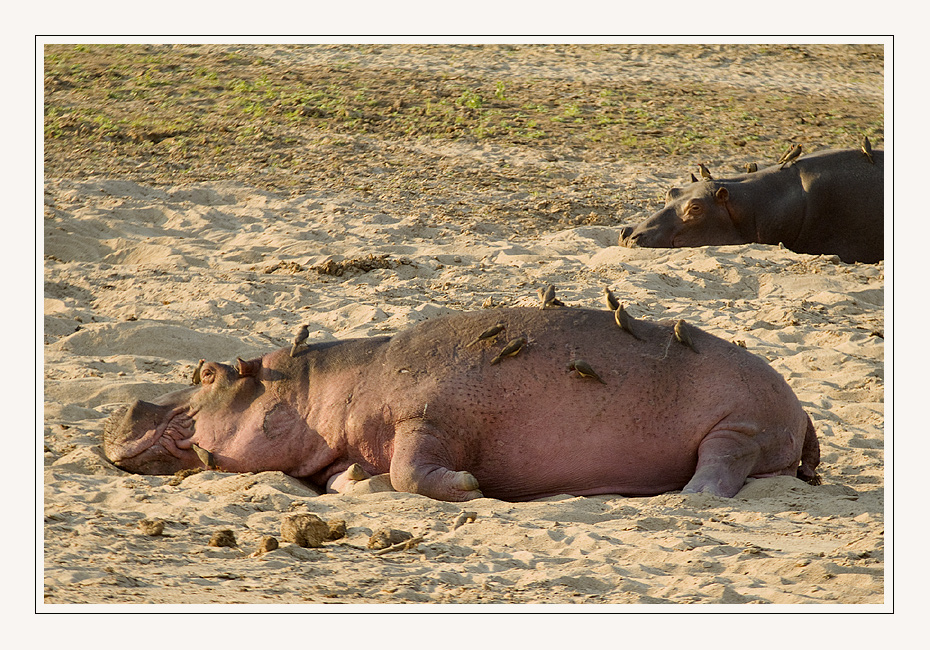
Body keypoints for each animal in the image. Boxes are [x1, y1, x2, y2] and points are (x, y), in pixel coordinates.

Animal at [103, 306, 820, 498]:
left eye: (205, 372)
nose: (125, 403)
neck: (315, 389)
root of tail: (804, 405)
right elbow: (358, 477)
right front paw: (356, 483)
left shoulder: (429, 419)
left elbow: (411, 470)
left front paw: (471, 486)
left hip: (741, 425)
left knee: (721, 465)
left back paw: (686, 497)